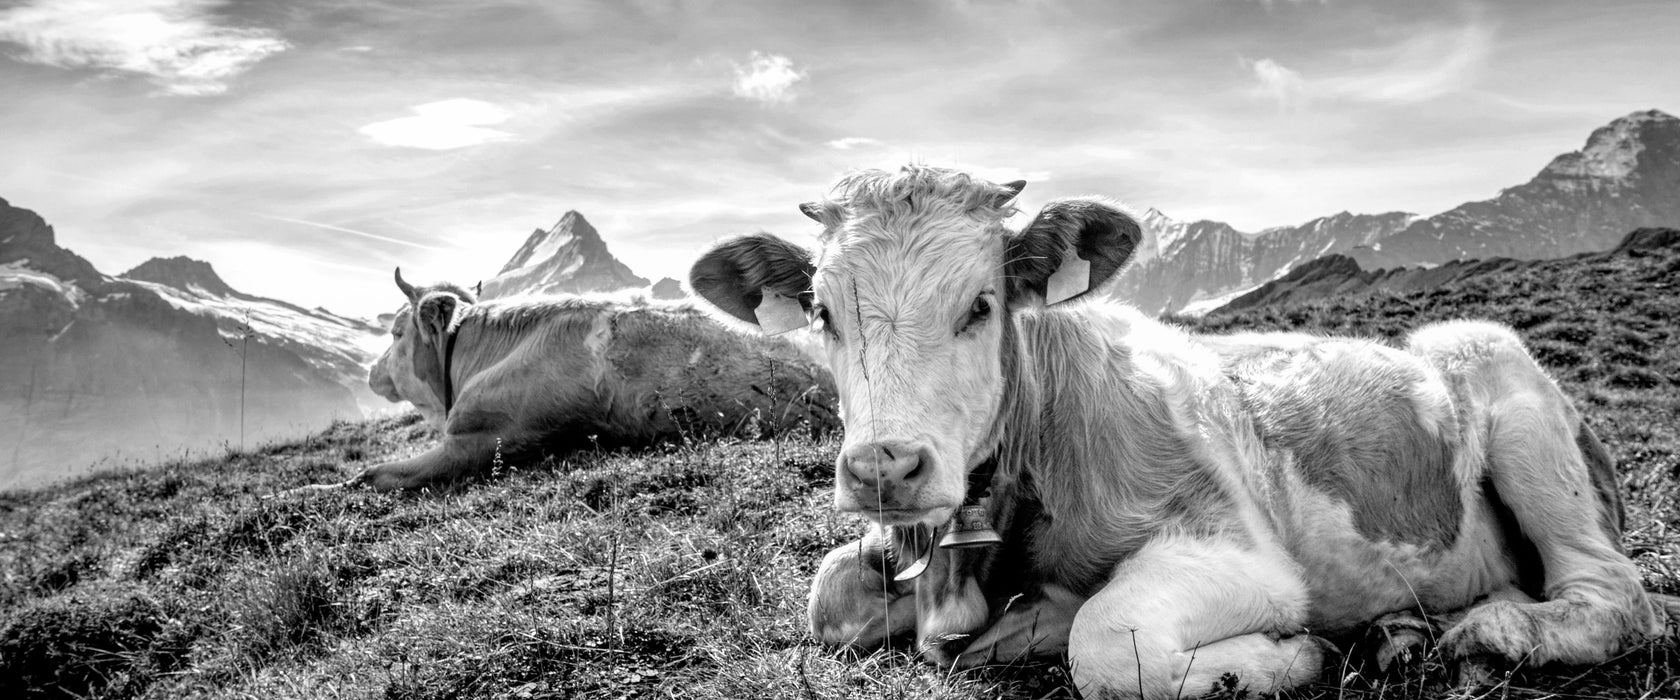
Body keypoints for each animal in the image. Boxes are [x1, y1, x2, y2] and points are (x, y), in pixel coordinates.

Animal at [688, 165, 1673, 698]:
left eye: (981, 304)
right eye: (822, 311)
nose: (886, 467)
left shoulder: (1241, 552)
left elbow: (1107, 641)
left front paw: (1286, 657)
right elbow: (828, 598)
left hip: (1500, 379)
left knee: (1613, 596)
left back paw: (1491, 632)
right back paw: (1408, 632)